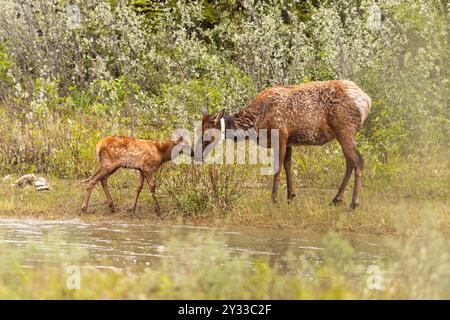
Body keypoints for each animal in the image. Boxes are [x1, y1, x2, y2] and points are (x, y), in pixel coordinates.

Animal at [200, 80, 370, 208]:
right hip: (344, 134)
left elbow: (277, 166)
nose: (197, 153)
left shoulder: (280, 134)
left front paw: (274, 198)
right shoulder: (289, 141)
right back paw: (337, 198)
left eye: (207, 133)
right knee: (350, 162)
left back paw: (354, 202)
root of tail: (367, 101)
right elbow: (288, 165)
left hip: (345, 130)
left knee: (358, 160)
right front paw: (290, 196)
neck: (256, 123)